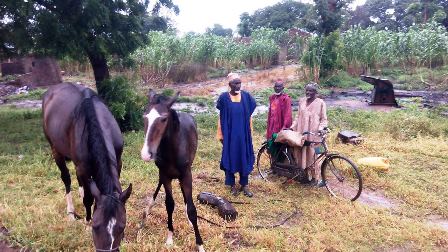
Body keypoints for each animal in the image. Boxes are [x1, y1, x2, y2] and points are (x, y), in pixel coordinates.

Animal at [42, 82, 132, 250]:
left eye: (122, 226)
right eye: (95, 226)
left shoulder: (118, 162)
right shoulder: (83, 168)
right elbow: (89, 199)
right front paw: (87, 220)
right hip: (56, 150)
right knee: (67, 179)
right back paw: (71, 212)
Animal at [140, 90, 205, 252]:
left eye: (163, 119)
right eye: (144, 117)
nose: (146, 154)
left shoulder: (187, 175)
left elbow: (192, 210)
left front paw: (200, 244)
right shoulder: (165, 175)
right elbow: (169, 204)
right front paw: (169, 239)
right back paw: (147, 210)